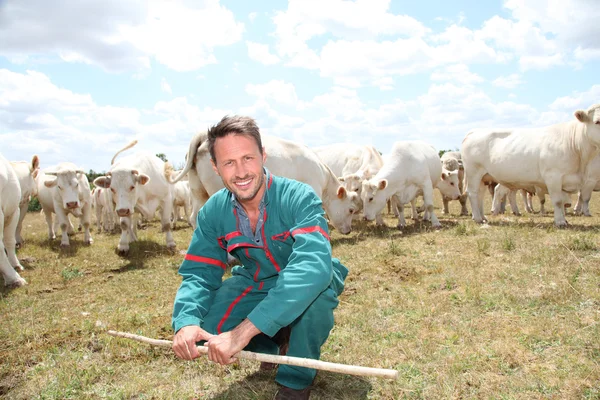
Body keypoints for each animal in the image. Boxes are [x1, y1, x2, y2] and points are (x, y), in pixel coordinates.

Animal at [462, 104, 596, 228]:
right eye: (597, 121)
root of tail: (474, 132)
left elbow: (563, 202)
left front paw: (565, 220)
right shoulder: (553, 177)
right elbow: (558, 201)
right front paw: (560, 222)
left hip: (484, 177)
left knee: (480, 194)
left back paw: (483, 217)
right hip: (473, 172)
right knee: (473, 193)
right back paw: (478, 218)